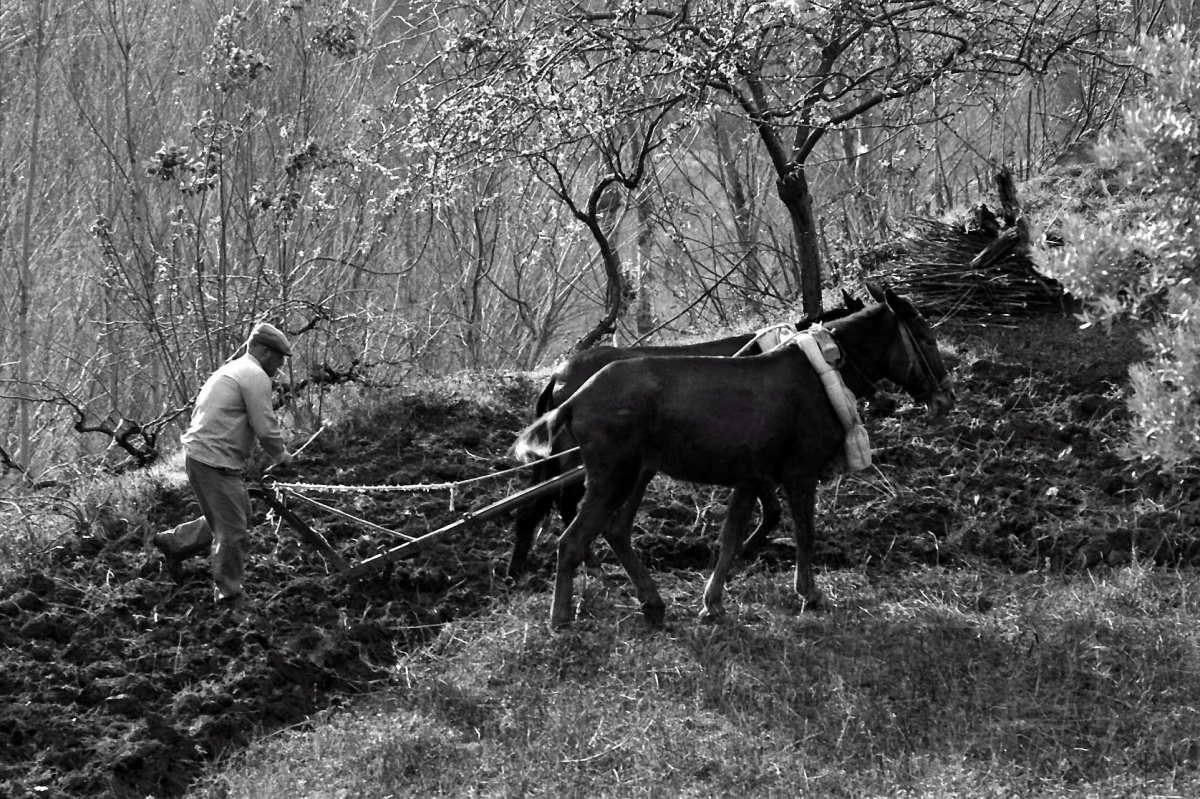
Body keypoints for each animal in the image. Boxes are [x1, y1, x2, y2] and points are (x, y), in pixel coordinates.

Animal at [511, 289, 868, 575]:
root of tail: (558, 378)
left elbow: (771, 509)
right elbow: (773, 510)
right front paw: (745, 551)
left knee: (534, 509)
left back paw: (520, 568)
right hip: (582, 461)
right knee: (565, 507)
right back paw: (583, 562)